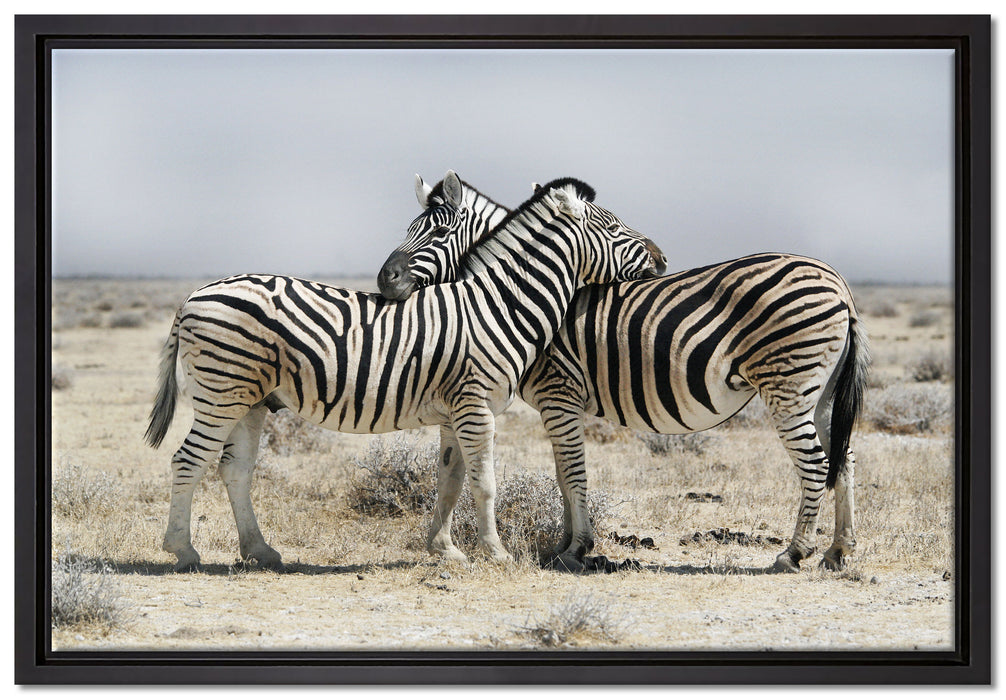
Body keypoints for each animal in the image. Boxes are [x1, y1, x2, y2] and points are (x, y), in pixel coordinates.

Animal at [145, 172, 665, 572]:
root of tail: (192, 296)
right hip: (221, 392)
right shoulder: (476, 405)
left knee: (234, 469)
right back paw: (183, 551)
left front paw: (446, 550)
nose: (661, 258)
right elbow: (485, 482)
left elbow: (451, 480)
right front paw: (496, 554)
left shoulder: (456, 411)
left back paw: (260, 550)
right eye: (614, 226)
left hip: (249, 399)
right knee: (187, 460)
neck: (499, 305)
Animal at [377, 177, 869, 573]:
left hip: (787, 385)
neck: (515, 294)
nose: (385, 280)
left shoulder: (559, 393)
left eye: (438, 232)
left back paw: (795, 553)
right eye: (408, 229)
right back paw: (838, 551)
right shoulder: (560, 404)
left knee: (816, 464)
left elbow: (573, 472)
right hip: (819, 391)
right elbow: (562, 475)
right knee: (842, 458)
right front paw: (563, 545)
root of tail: (840, 283)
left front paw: (576, 549)